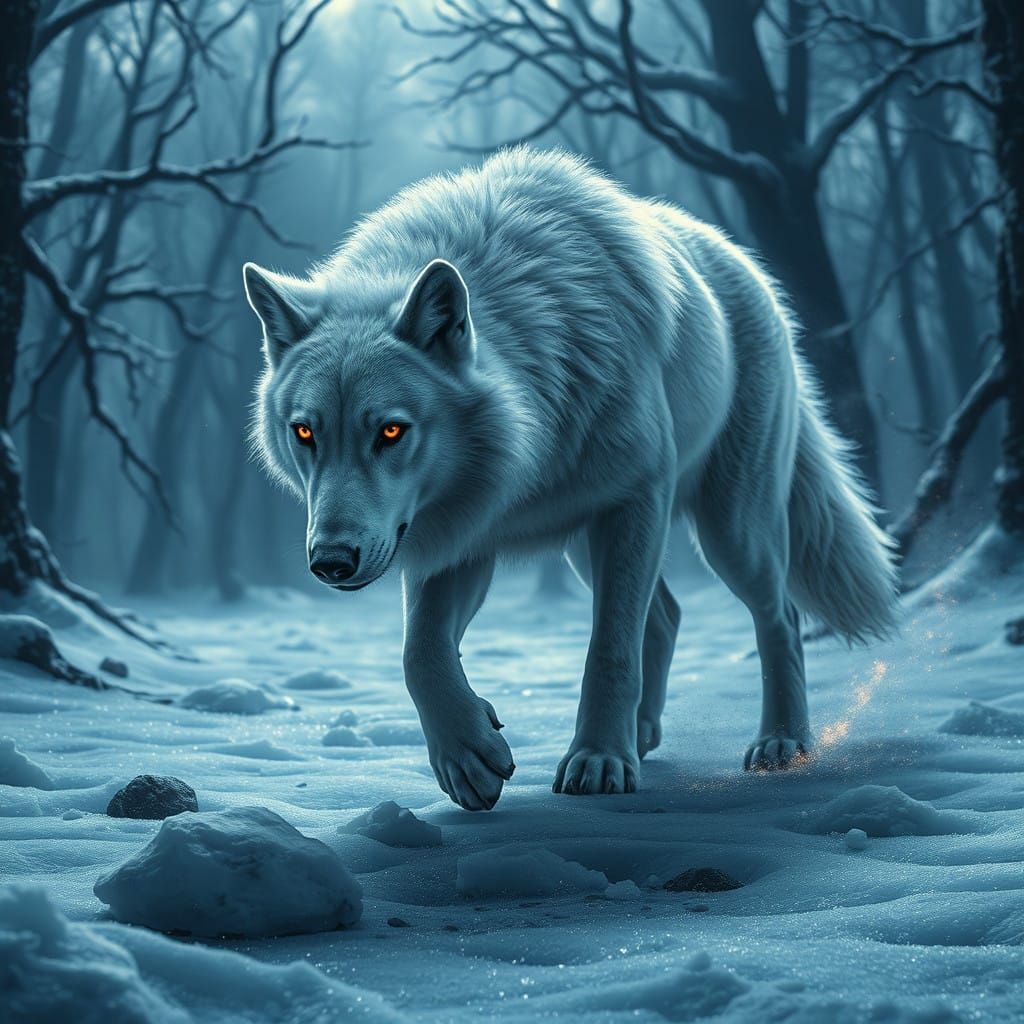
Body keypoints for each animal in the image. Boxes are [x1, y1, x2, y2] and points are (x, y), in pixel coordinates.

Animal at [243, 147, 897, 811]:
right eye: (305, 433)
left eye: (392, 431)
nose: (330, 562)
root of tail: (750, 267)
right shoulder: (457, 533)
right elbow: (419, 653)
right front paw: (467, 755)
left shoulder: (635, 501)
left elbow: (609, 648)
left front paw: (599, 761)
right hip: (588, 548)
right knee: (666, 616)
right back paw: (644, 732)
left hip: (730, 532)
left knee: (778, 616)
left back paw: (781, 743)